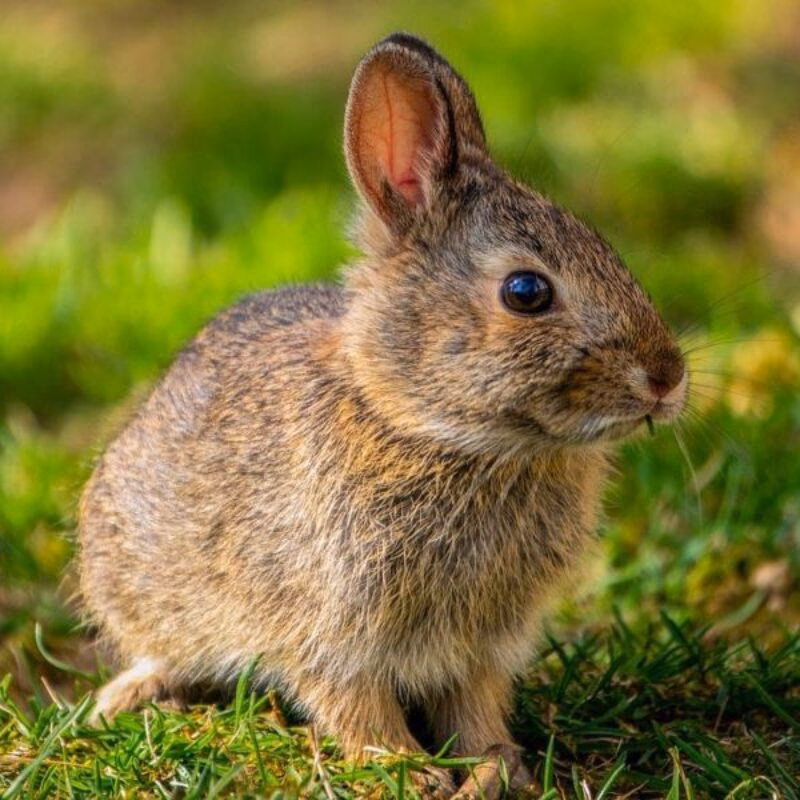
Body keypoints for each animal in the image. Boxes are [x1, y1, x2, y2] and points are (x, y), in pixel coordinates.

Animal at [78, 32, 687, 798]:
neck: (431, 430)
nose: (667, 378)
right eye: (526, 291)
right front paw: (405, 768)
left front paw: (498, 767)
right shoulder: (329, 628)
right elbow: (353, 703)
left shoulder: (479, 646)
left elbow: (475, 706)